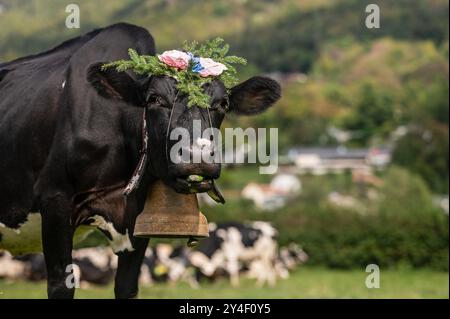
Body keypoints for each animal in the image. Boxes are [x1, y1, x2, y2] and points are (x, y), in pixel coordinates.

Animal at [0, 23, 282, 300]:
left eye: (222, 103)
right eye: (154, 99)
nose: (196, 157)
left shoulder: (138, 219)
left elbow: (127, 286)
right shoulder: (55, 199)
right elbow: (61, 286)